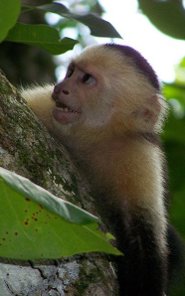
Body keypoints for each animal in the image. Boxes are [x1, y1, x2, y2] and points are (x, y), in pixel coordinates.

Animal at [21, 44, 184, 296]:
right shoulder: (44, 106)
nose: (61, 88)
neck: (93, 139)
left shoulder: (139, 155)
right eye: (71, 72)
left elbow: (141, 233)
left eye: (86, 79)